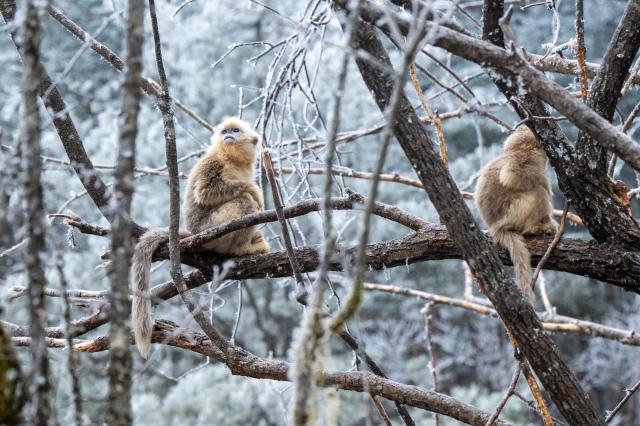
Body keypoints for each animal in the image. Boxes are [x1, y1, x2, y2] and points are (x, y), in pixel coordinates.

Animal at [131, 117, 269, 358]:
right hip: (211, 230)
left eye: (235, 130)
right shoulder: (213, 162)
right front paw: (253, 190)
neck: (231, 158)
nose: (228, 135)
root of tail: (193, 233)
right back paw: (242, 248)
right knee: (244, 201)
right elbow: (207, 191)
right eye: (225, 131)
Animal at [475, 125, 557, 303]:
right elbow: (511, 175)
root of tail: (496, 227)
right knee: (537, 192)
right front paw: (545, 184)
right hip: (515, 213)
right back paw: (536, 227)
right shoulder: (524, 160)